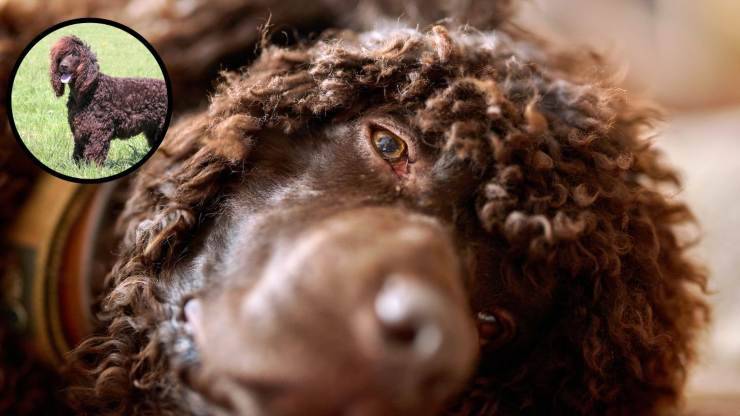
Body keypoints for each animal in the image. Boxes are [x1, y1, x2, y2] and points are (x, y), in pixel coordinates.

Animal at [51, 35, 168, 166]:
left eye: (76, 54)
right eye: (61, 56)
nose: (63, 66)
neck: (86, 93)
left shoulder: (99, 130)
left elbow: (95, 152)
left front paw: (93, 167)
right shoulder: (80, 129)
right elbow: (78, 150)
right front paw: (78, 166)